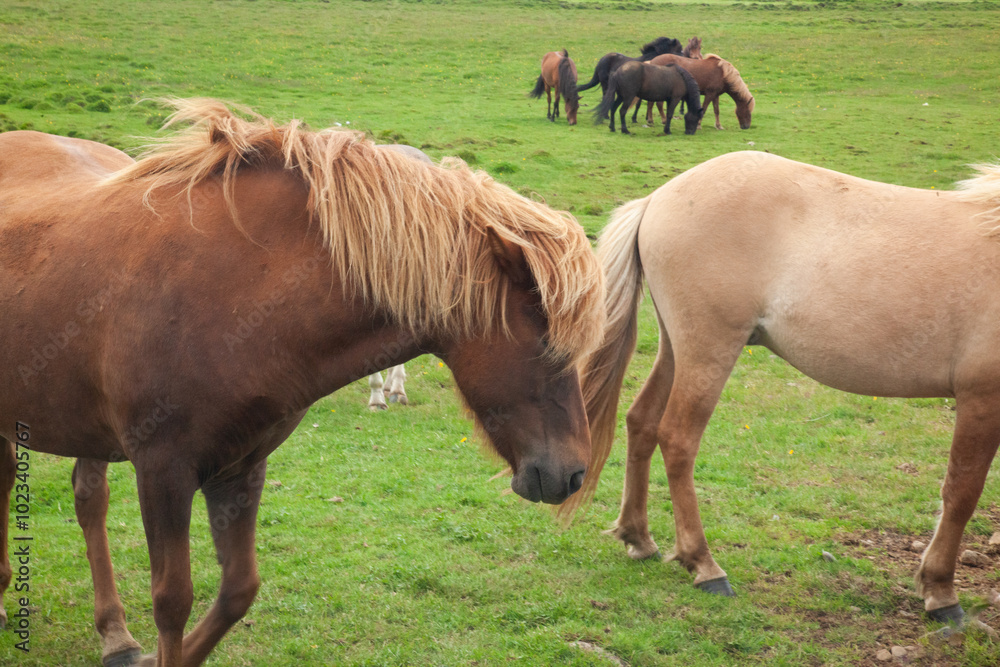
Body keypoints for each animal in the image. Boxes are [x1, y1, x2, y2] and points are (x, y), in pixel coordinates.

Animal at [0, 98, 605, 666]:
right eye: (545, 343)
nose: (574, 473)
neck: (234, 288)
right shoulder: (162, 470)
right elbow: (172, 601)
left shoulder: (240, 467)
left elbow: (238, 590)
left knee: (86, 498)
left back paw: (113, 635)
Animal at [561, 150, 1000, 628]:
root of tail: (659, 198)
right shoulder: (981, 398)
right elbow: (961, 494)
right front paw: (941, 592)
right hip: (708, 350)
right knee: (677, 439)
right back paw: (704, 564)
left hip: (675, 349)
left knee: (641, 421)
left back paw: (638, 537)